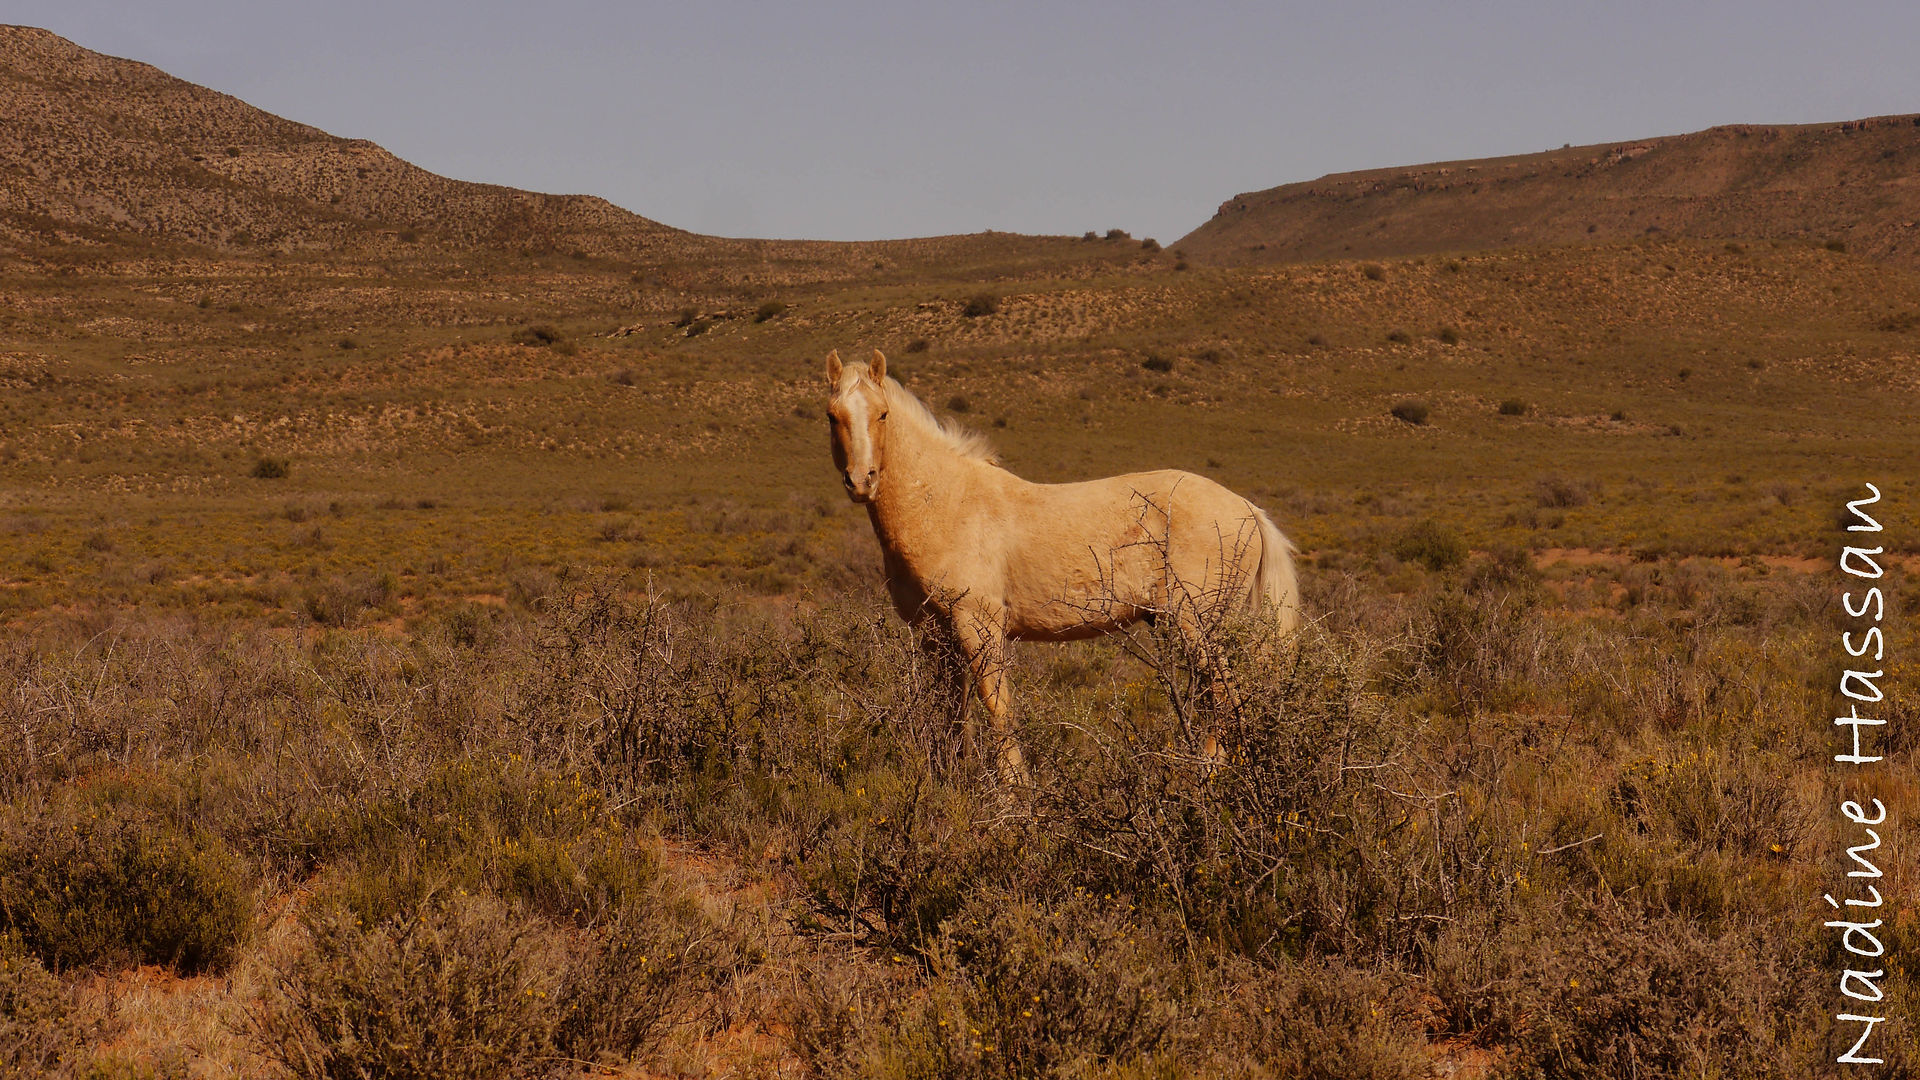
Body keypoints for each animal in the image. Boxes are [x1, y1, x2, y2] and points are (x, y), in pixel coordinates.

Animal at [825, 348, 1298, 782]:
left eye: (883, 414)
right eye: (833, 416)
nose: (860, 481)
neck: (945, 503)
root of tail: (1247, 509)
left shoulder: (979, 625)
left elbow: (998, 709)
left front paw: (1012, 796)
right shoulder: (934, 636)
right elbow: (951, 719)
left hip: (1197, 623)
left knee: (1226, 693)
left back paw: (1208, 779)